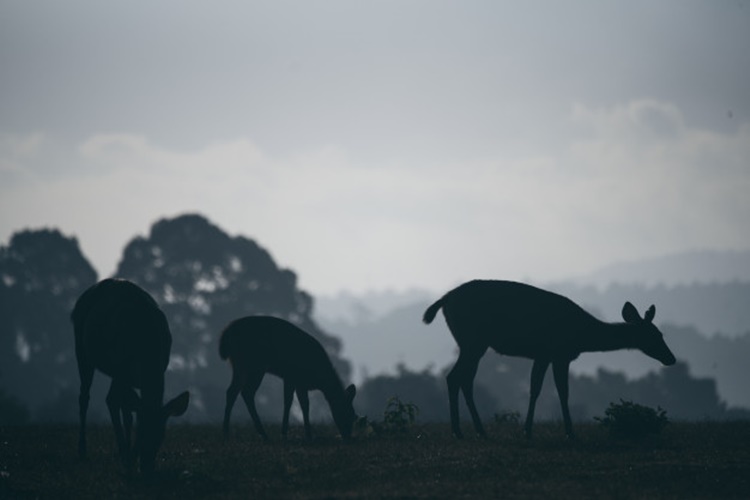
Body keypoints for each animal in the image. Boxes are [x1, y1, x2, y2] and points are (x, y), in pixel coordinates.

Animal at [71, 278, 189, 476]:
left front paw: (129, 456)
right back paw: (83, 450)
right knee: (86, 397)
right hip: (82, 349)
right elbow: (117, 404)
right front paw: (127, 457)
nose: (147, 467)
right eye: (140, 434)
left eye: (162, 435)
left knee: (120, 405)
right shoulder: (121, 370)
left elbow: (128, 411)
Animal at [220, 316, 358, 442]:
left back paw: (227, 433)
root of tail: (225, 335)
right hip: (255, 365)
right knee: (246, 392)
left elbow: (293, 402)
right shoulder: (295, 378)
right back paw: (262, 434)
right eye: (347, 413)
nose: (347, 436)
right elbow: (300, 404)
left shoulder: (293, 380)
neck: (318, 378)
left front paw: (290, 433)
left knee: (232, 391)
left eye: (353, 416)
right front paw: (303, 435)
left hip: (240, 365)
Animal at [426, 280, 680, 440]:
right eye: (655, 336)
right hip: (472, 341)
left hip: (472, 344)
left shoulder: (547, 355)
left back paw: (475, 430)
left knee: (462, 379)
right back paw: (462, 431)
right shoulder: (557, 353)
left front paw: (530, 430)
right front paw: (564, 432)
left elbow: (540, 389)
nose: (671, 359)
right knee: (456, 377)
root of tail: (444, 300)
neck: (581, 336)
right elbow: (557, 391)